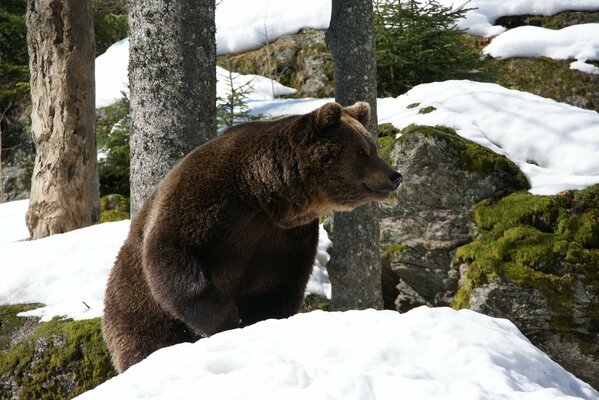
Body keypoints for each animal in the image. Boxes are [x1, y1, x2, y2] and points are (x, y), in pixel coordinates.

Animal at [103, 102, 404, 372]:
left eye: (373, 147)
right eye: (363, 151)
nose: (395, 175)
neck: (261, 193)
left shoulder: (284, 238)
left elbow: (278, 287)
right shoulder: (204, 200)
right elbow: (171, 253)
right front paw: (228, 317)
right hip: (134, 305)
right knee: (146, 339)